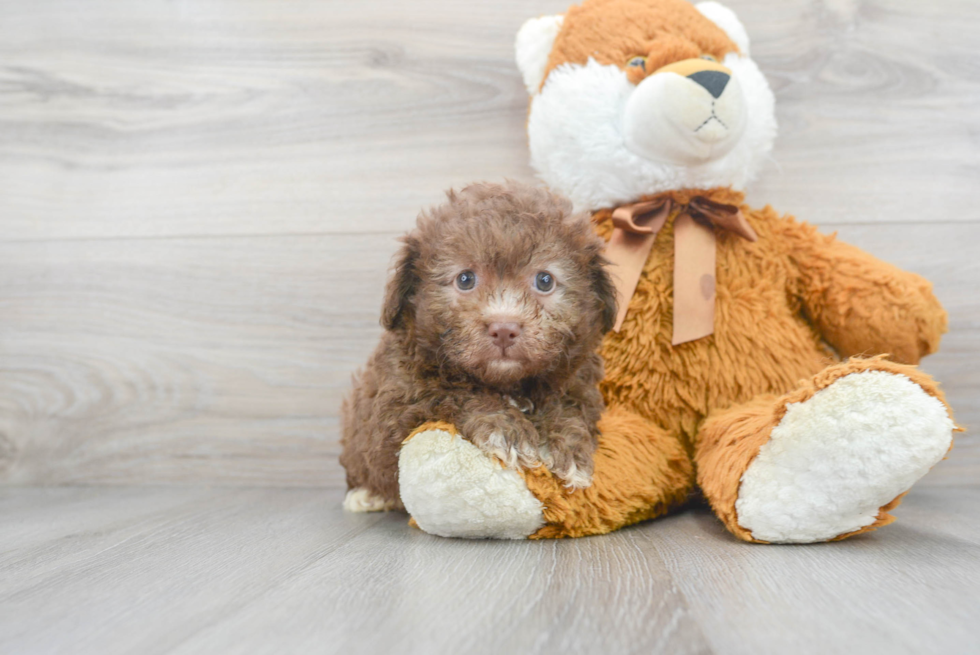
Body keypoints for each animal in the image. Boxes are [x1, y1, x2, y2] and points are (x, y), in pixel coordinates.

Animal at [336, 181, 612, 512]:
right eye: (466, 279)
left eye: (545, 281)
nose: (504, 328)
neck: (508, 384)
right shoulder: (396, 406)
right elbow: (453, 392)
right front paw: (506, 429)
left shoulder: (579, 385)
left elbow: (567, 407)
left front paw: (570, 448)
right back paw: (366, 495)